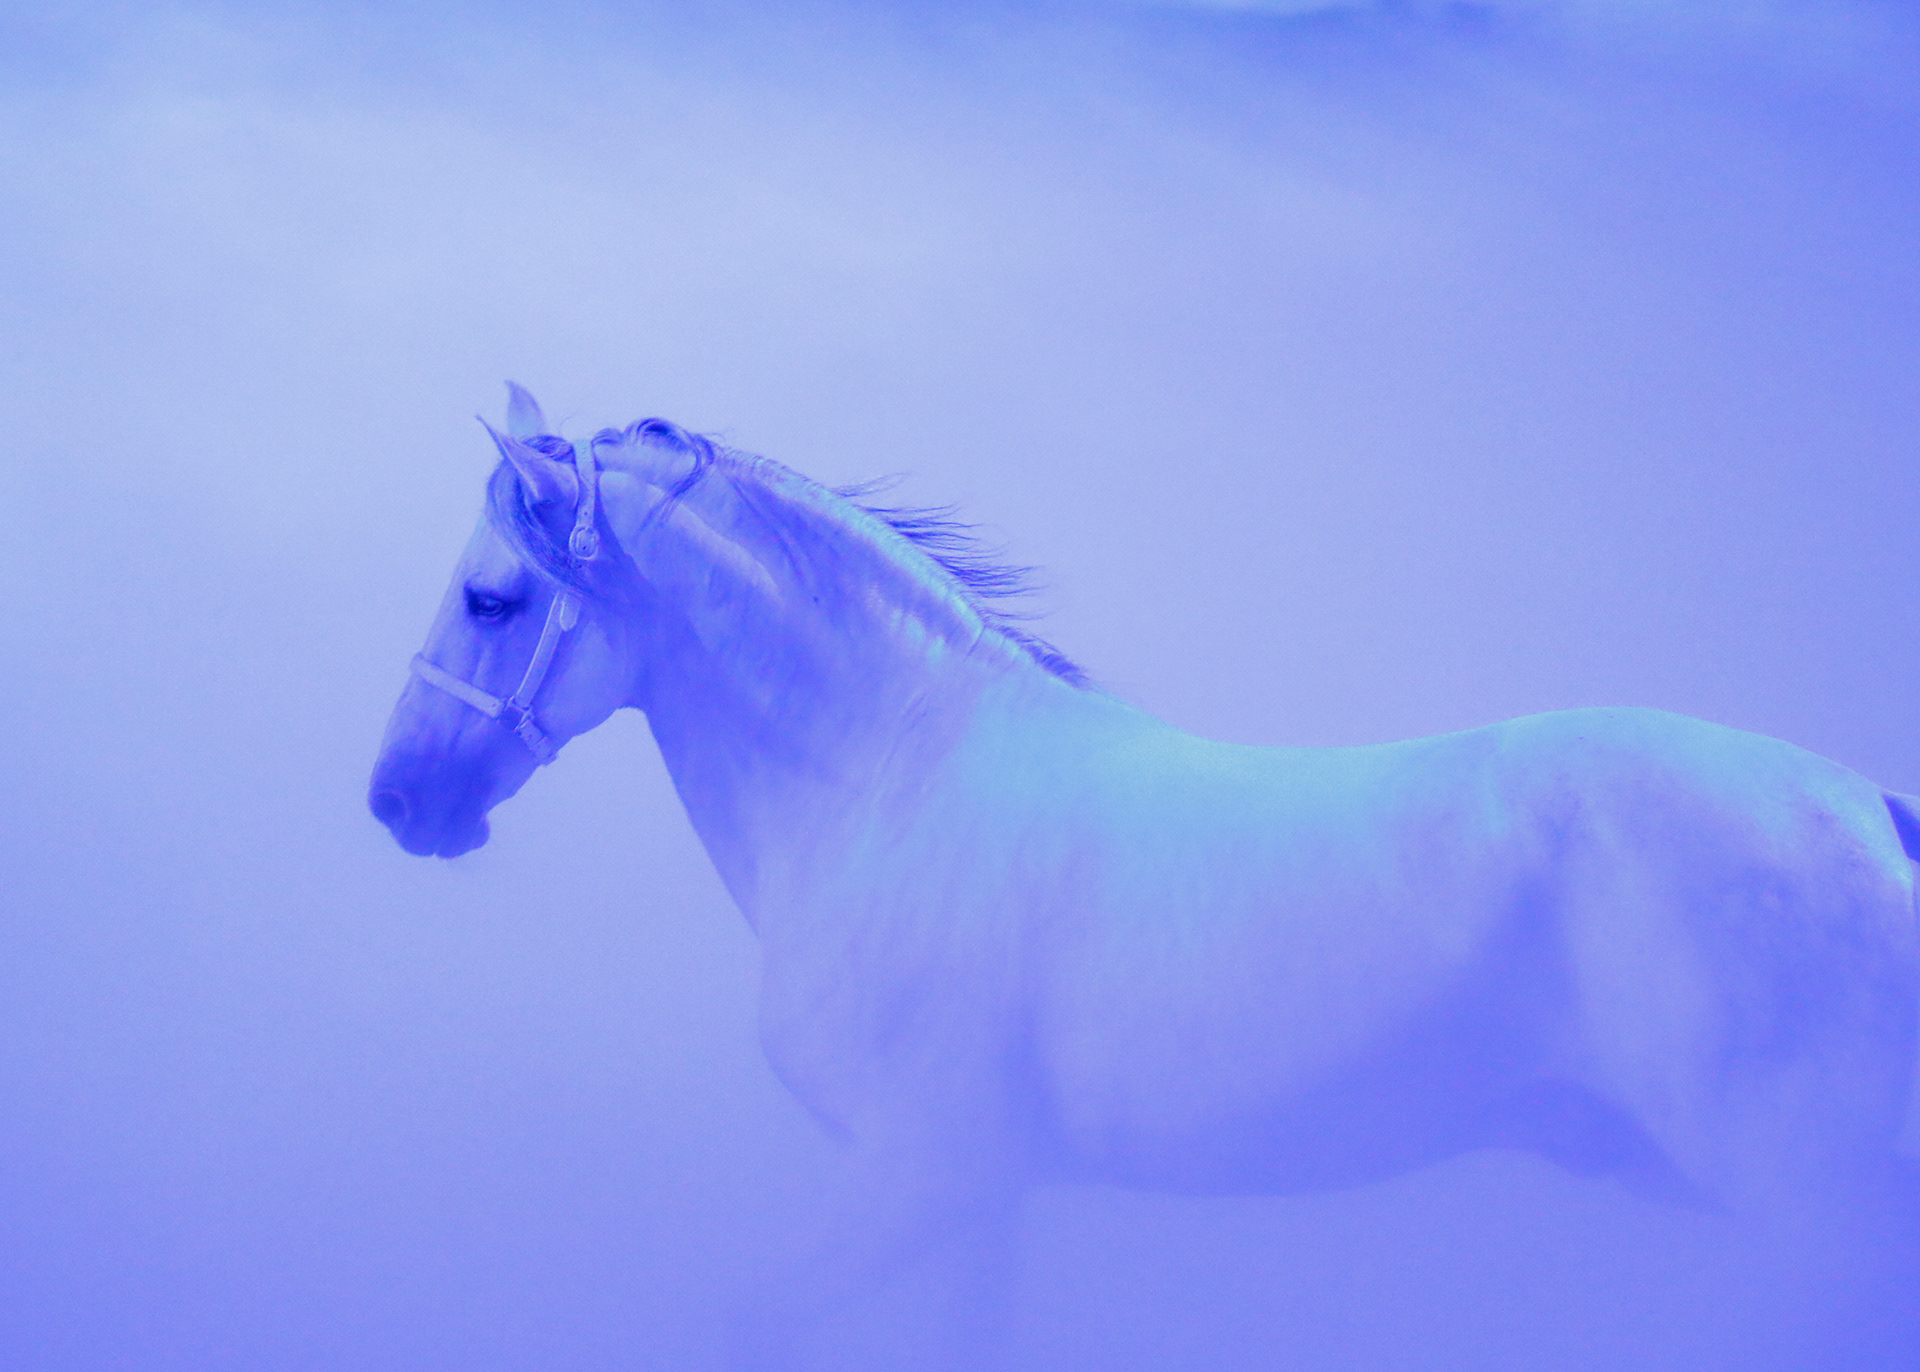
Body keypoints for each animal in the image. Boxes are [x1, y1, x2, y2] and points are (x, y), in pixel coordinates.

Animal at [370, 384, 1920, 1370]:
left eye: (494, 597)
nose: (398, 799)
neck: (895, 787)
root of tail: (1866, 813)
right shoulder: (988, 1201)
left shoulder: (917, 1181)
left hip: (1808, 1208)